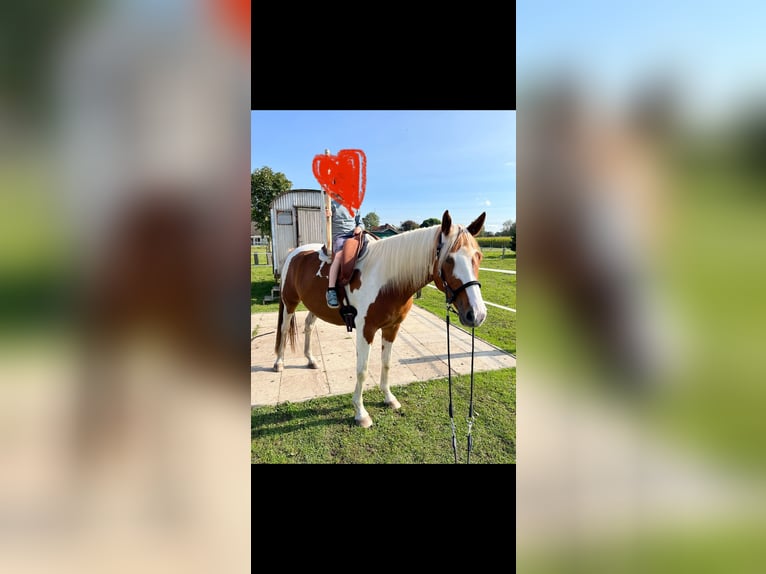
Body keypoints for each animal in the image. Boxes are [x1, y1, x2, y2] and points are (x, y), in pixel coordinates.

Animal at [274, 210, 488, 427]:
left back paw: (310, 359)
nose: (477, 314)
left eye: (478, 256)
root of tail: (294, 252)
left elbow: (386, 363)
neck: (387, 279)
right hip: (290, 302)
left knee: (308, 326)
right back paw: (279, 363)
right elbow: (362, 370)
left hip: (314, 306)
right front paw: (361, 413)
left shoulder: (392, 328)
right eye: (449, 260)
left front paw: (389, 398)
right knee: (283, 329)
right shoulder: (365, 330)